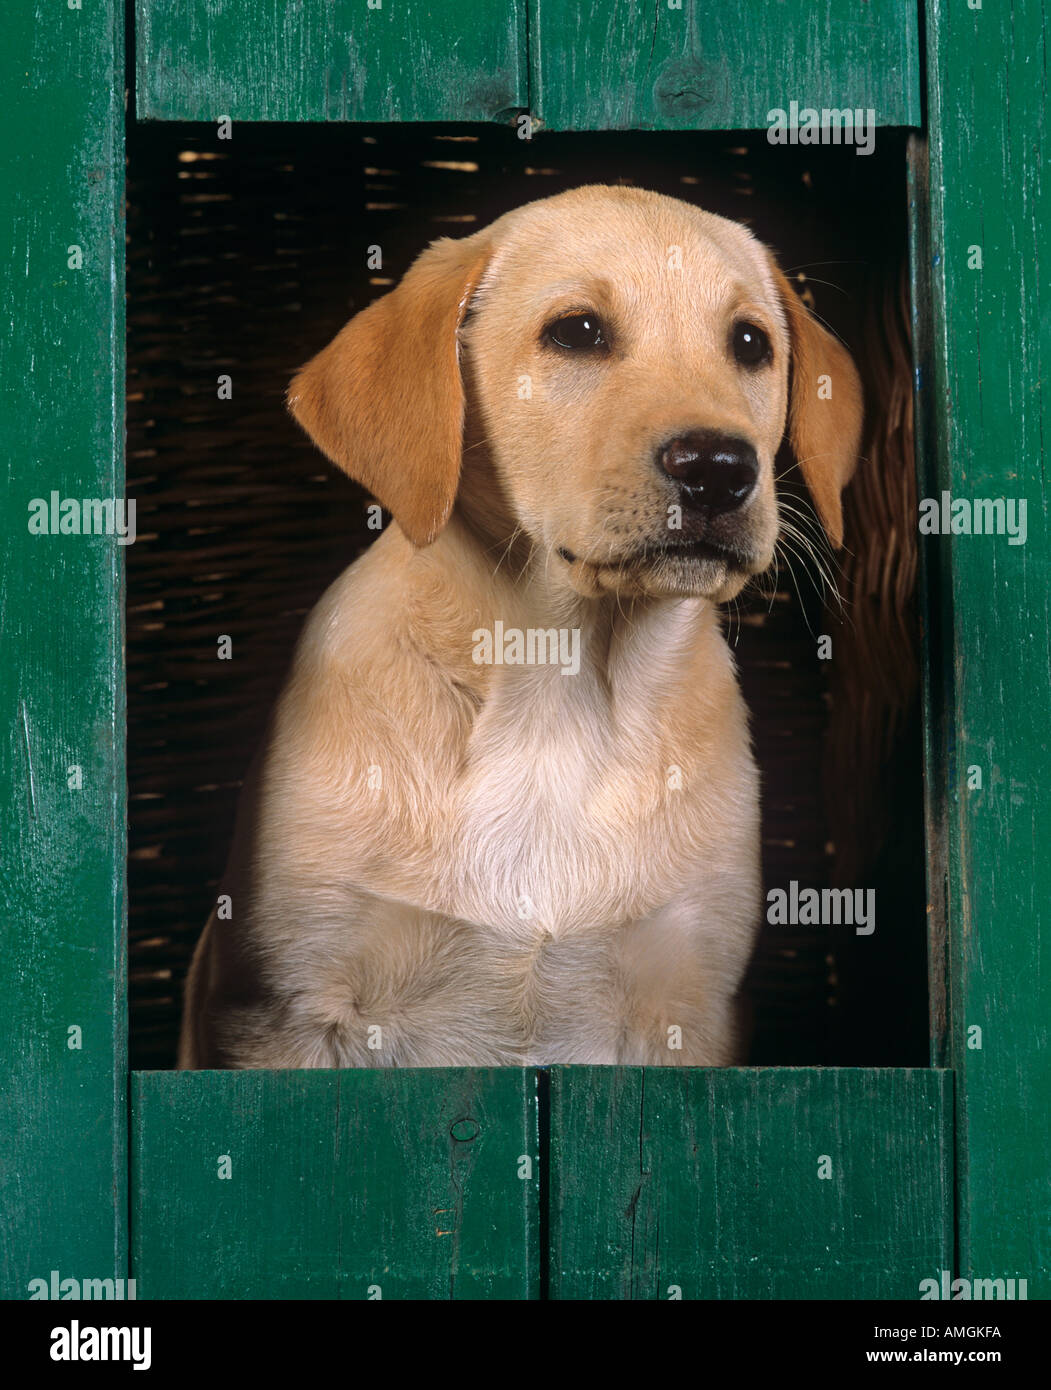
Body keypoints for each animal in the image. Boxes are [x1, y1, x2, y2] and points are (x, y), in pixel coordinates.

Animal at [176, 184, 856, 1067]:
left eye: (749, 344)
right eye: (576, 332)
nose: (719, 468)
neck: (558, 685)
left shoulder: (688, 1011)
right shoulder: (280, 1015)